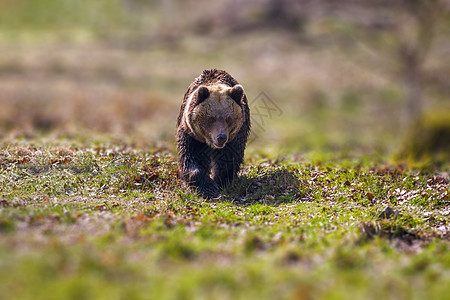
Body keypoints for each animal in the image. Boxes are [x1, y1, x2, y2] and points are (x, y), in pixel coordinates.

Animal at [176, 69, 251, 198]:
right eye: (211, 118)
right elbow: (190, 158)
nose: (221, 137)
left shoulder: (235, 137)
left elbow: (228, 160)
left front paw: (219, 182)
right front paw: (209, 188)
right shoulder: (192, 136)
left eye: (228, 118)